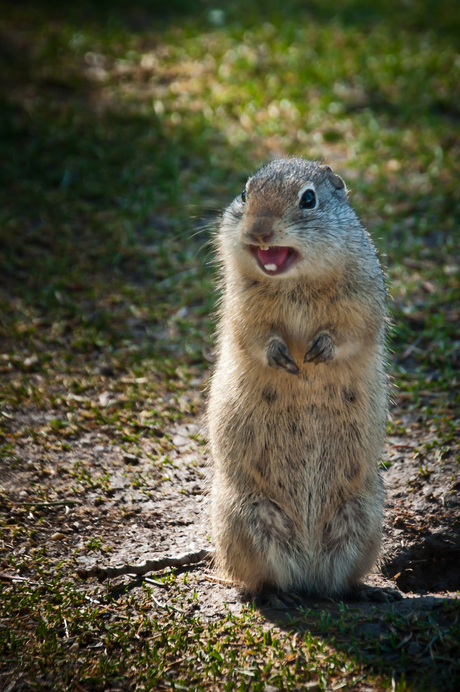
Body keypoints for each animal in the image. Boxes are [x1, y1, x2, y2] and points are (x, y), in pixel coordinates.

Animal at [207, 159, 386, 596]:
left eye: (308, 199)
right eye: (244, 193)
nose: (258, 230)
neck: (294, 283)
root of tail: (308, 570)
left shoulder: (362, 298)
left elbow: (351, 330)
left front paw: (318, 353)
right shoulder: (241, 306)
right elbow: (254, 335)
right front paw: (283, 358)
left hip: (363, 517)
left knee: (337, 582)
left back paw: (362, 591)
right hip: (245, 516)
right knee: (266, 578)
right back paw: (276, 596)